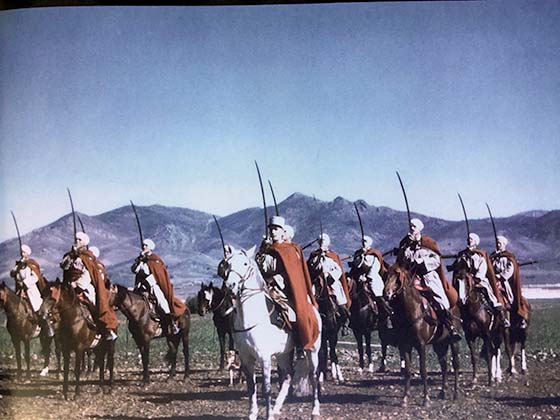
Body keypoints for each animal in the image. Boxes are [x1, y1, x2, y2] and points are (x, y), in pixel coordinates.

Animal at [222, 246, 322, 420]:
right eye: (228, 264)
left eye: (245, 263)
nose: (230, 285)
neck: (252, 318)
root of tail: (314, 310)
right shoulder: (246, 359)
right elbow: (251, 387)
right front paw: (252, 414)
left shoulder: (265, 358)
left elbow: (266, 389)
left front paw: (267, 415)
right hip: (284, 354)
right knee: (288, 375)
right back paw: (276, 408)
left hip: (312, 351)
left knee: (313, 376)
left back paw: (314, 410)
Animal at [382, 266, 462, 406]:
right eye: (386, 276)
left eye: (397, 277)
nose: (386, 294)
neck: (412, 311)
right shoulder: (405, 346)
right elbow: (408, 371)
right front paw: (405, 398)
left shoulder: (421, 345)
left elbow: (423, 371)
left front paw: (426, 399)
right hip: (439, 343)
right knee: (444, 365)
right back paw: (443, 392)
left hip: (453, 342)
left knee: (455, 364)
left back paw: (455, 394)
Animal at [450, 256, 508, 384]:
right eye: (456, 281)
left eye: (467, 281)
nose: (461, 300)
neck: (474, 311)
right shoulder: (470, 336)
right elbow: (474, 356)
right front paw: (474, 379)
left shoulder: (486, 334)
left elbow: (489, 354)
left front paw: (490, 380)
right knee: (493, 351)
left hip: (498, 332)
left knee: (496, 350)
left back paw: (497, 376)